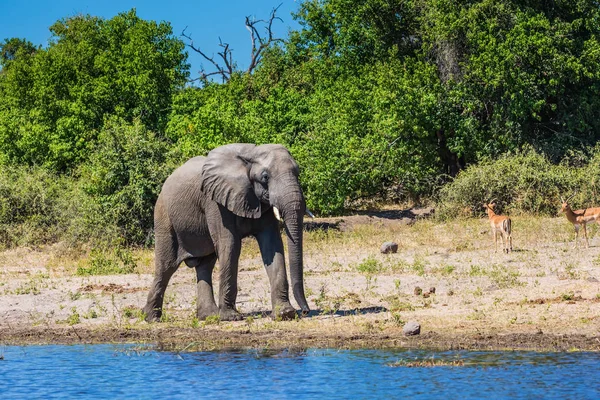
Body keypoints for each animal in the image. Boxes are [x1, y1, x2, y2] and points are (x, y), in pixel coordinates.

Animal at [141, 144, 310, 322]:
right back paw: (151, 318)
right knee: (167, 266)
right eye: (265, 177)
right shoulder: (215, 201)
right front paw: (231, 317)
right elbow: (230, 245)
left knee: (205, 265)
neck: (251, 153)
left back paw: (209, 316)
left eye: (298, 172)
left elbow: (272, 245)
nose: (305, 311)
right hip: (164, 217)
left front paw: (285, 314)